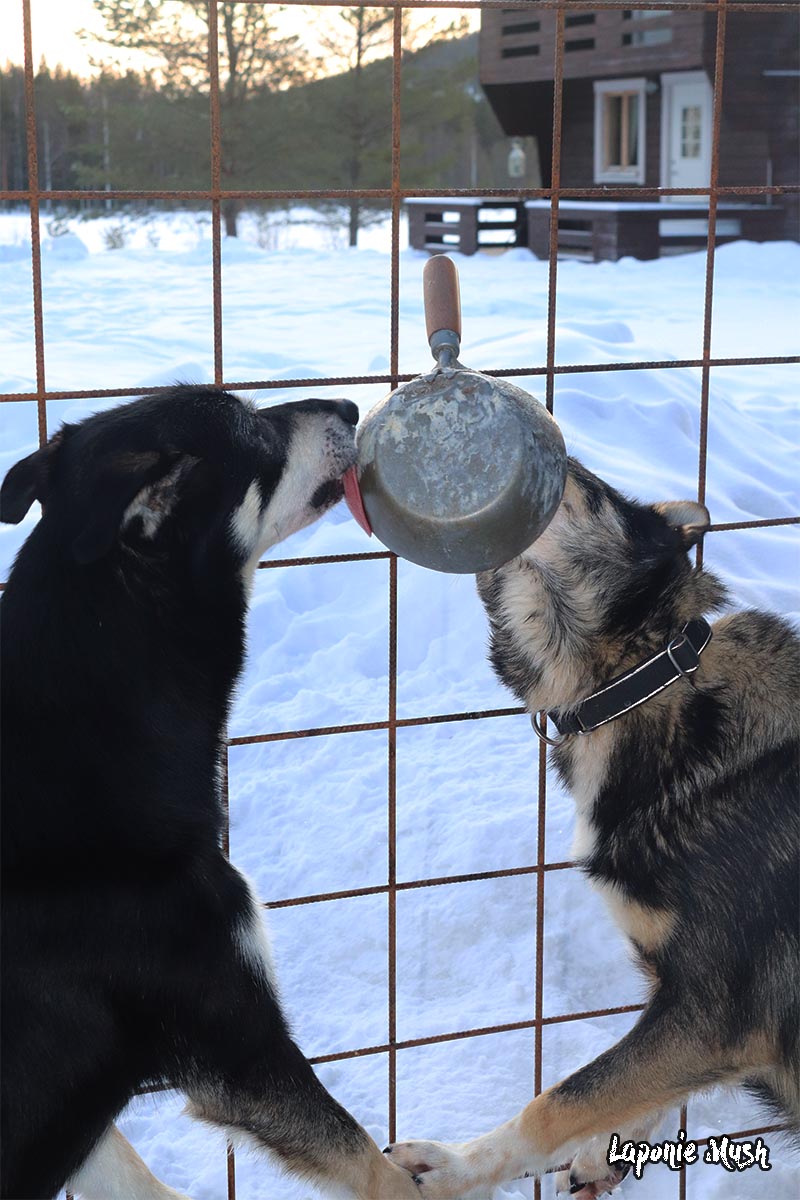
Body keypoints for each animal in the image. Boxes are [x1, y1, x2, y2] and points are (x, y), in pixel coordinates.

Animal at [383, 453, 796, 1195]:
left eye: (581, 479)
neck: (645, 679)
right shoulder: (688, 1013)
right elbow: (627, 1091)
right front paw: (612, 1151)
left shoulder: (717, 1011)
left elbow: (557, 1103)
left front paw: (454, 1169)